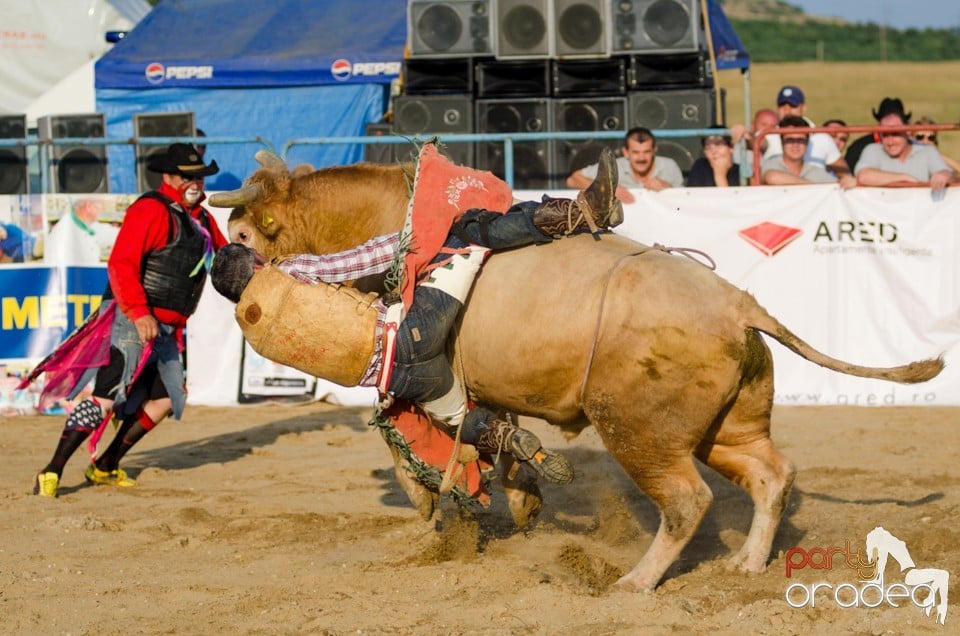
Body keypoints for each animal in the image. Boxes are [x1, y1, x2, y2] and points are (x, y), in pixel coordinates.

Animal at [206, 150, 940, 592]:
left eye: (241, 235)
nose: (223, 266)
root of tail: (739, 305)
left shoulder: (416, 365)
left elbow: (404, 429)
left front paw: (433, 500)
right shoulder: (478, 385)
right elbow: (487, 432)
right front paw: (523, 493)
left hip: (640, 432)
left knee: (687, 502)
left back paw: (636, 582)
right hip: (724, 429)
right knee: (771, 476)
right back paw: (747, 562)